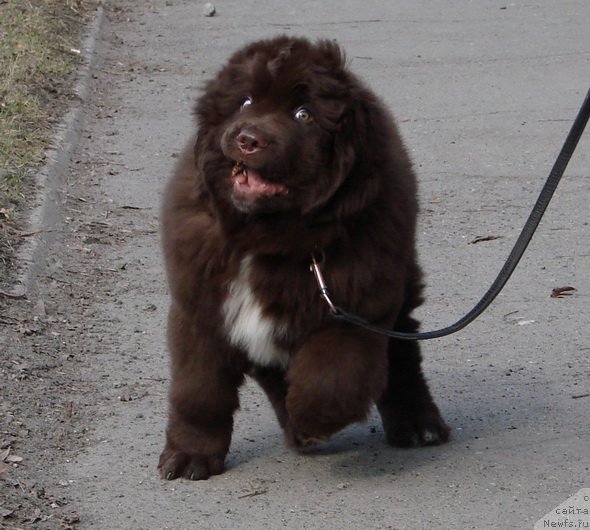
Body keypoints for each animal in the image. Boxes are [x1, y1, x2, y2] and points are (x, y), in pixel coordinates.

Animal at [157, 34, 448, 478]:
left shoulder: (353, 309)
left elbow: (330, 380)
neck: (266, 241)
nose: (247, 139)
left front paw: (311, 421)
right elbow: (198, 391)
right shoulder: (200, 310)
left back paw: (419, 426)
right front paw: (189, 456)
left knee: (401, 355)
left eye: (303, 114)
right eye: (244, 102)